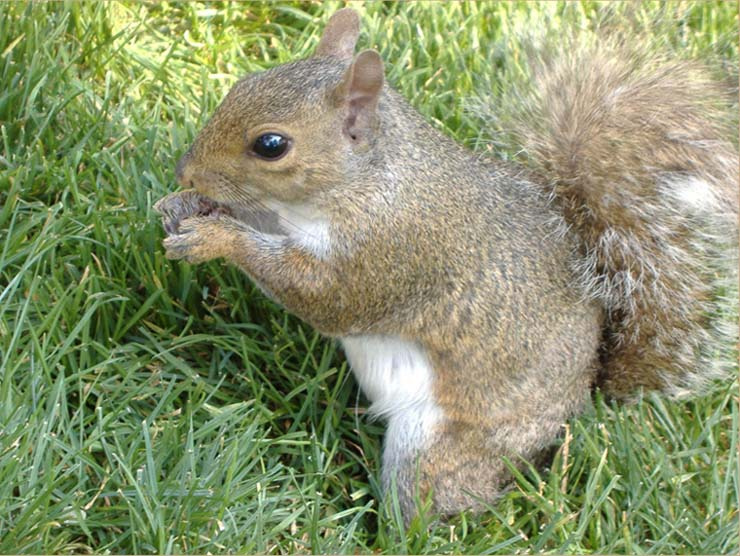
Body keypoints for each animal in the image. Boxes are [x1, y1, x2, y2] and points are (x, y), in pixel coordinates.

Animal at [154, 8, 739, 521]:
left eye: (271, 145)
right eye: (241, 85)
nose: (185, 172)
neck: (364, 181)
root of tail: (580, 398)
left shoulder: (392, 253)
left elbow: (325, 299)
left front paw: (216, 237)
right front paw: (182, 206)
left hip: (447, 445)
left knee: (442, 496)